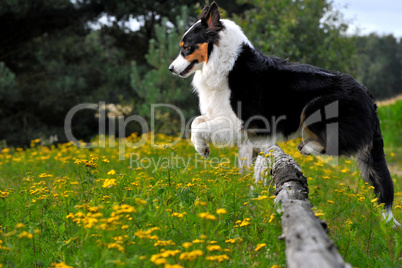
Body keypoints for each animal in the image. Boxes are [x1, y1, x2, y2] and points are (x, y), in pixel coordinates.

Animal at [168, 2, 398, 225]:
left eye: (186, 47)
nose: (170, 68)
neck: (224, 63)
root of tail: (368, 96)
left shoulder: (238, 124)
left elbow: (198, 127)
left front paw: (202, 149)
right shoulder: (225, 118)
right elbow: (197, 121)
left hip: (314, 109)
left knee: (341, 144)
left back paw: (309, 147)